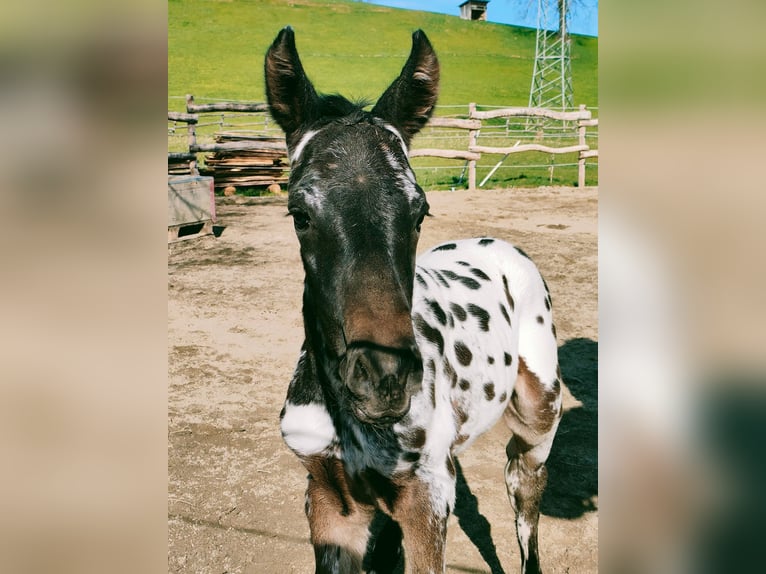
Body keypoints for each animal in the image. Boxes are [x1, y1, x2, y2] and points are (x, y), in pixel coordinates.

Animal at [266, 27, 564, 574]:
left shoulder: (427, 501)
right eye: (299, 214)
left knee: (524, 492)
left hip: (538, 419)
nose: (383, 378)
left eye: (420, 210)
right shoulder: (329, 499)